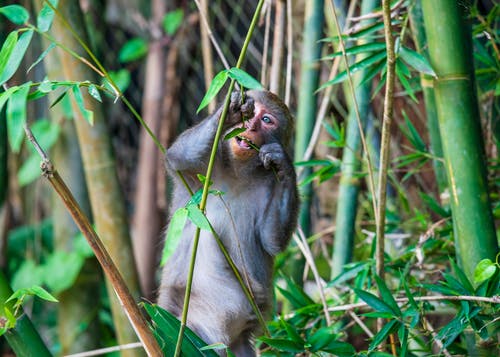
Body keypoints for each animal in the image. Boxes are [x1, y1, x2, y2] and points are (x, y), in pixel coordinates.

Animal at [156, 88, 296, 354]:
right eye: (253, 112)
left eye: (267, 120)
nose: (250, 126)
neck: (239, 170)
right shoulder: (200, 172)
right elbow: (178, 157)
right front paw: (230, 110)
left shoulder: (269, 181)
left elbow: (272, 240)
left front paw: (284, 164)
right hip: (177, 323)